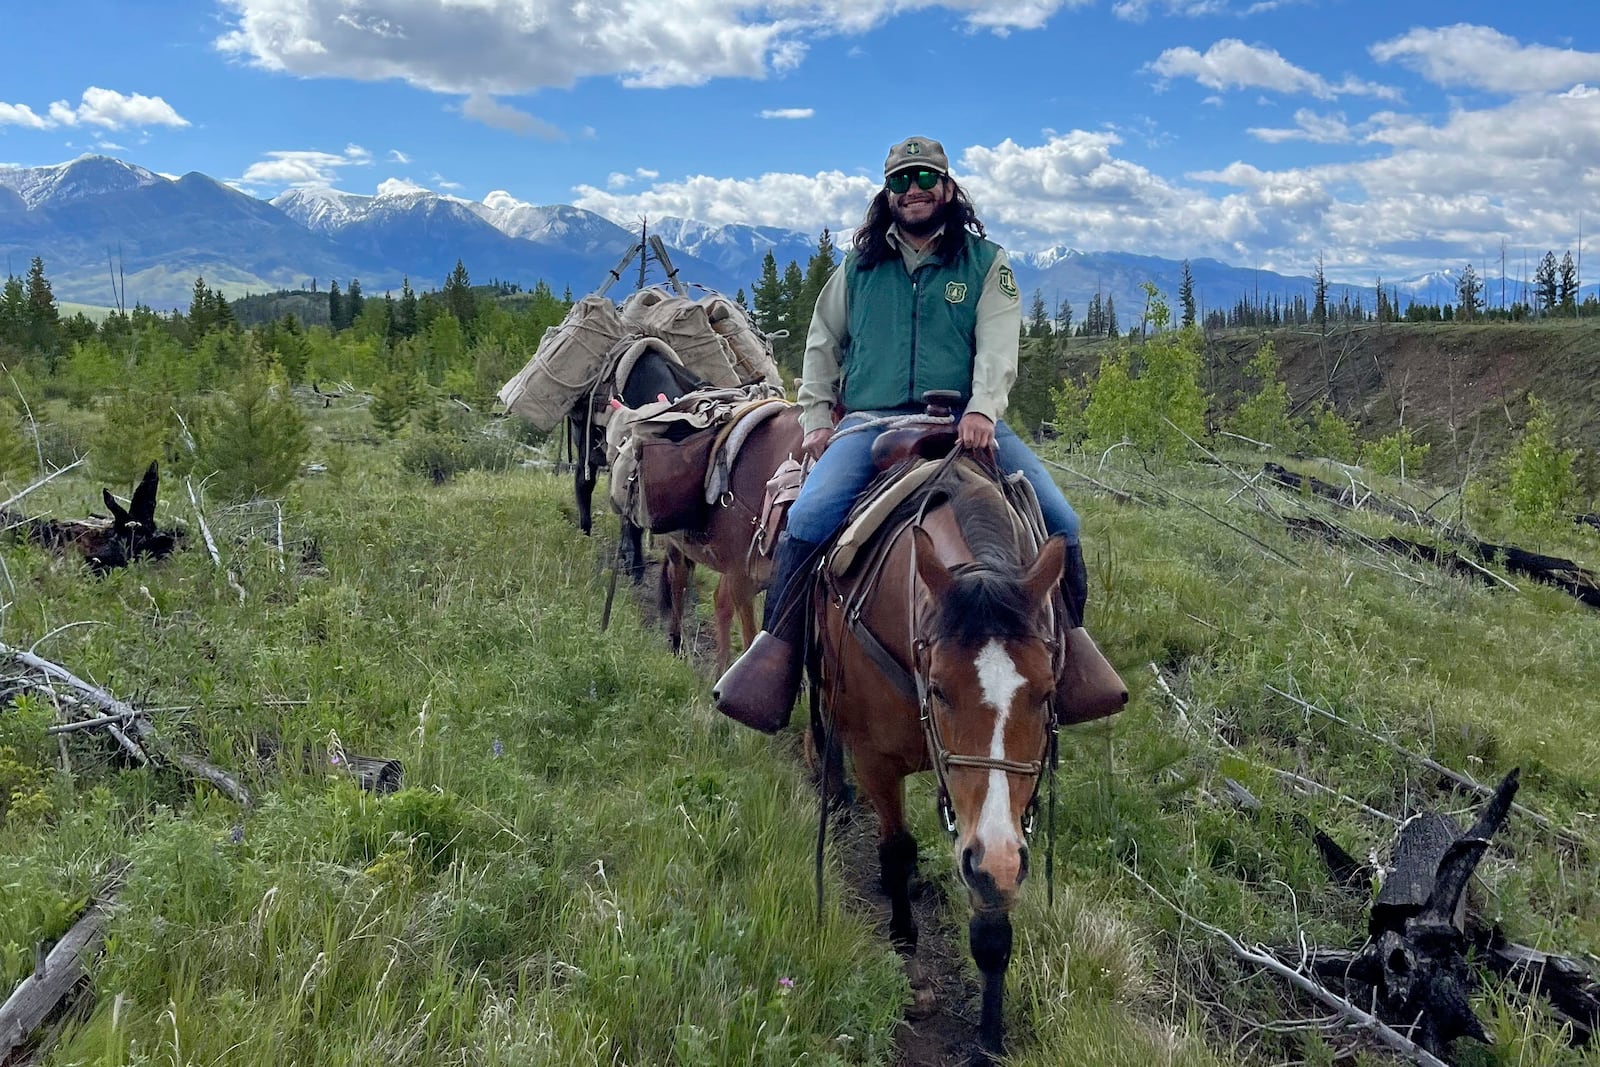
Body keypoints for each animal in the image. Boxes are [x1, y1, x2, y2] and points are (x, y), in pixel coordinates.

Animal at [819, 457, 1068, 1062]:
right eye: (938, 689)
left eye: (1047, 692)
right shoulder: (877, 760)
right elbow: (897, 848)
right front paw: (908, 962)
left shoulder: (999, 838)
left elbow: (993, 901)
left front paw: (989, 1038)